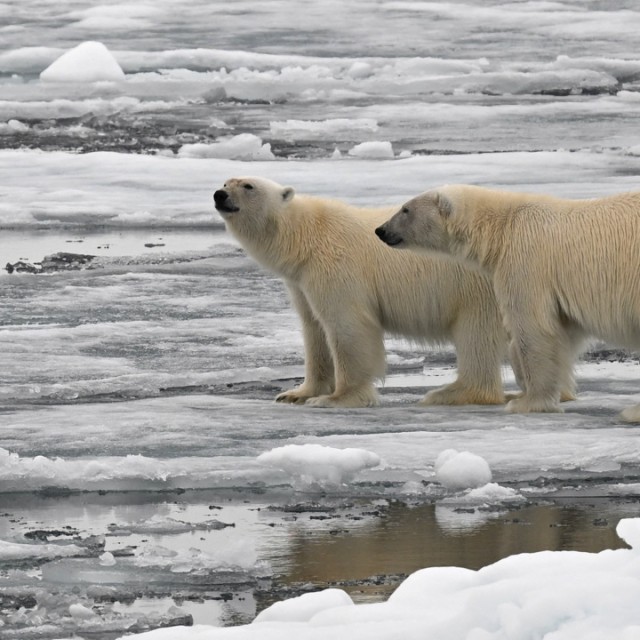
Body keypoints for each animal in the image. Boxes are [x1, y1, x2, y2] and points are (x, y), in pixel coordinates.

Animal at [213, 176, 508, 408]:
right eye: (226, 182)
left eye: (248, 185)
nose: (219, 195)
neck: (307, 237)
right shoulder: (301, 281)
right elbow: (314, 329)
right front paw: (296, 393)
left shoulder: (337, 267)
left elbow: (347, 327)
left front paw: (336, 398)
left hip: (477, 287)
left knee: (476, 334)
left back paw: (451, 393)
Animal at [375, 184, 640, 421]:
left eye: (405, 209)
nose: (381, 230)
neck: (502, 227)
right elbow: (565, 333)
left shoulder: (525, 261)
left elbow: (534, 329)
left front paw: (527, 402)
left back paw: (631, 413)